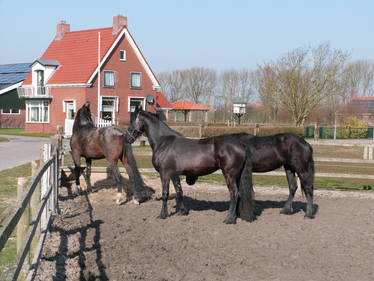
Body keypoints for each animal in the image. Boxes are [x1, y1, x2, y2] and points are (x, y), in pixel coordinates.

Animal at [125, 107, 254, 223]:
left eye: (133, 120)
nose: (127, 138)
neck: (163, 142)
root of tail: (241, 145)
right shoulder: (174, 174)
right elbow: (179, 192)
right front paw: (183, 211)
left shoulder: (165, 173)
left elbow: (165, 193)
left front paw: (163, 215)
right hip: (237, 176)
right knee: (239, 194)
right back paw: (235, 216)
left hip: (229, 175)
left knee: (234, 194)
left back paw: (229, 219)